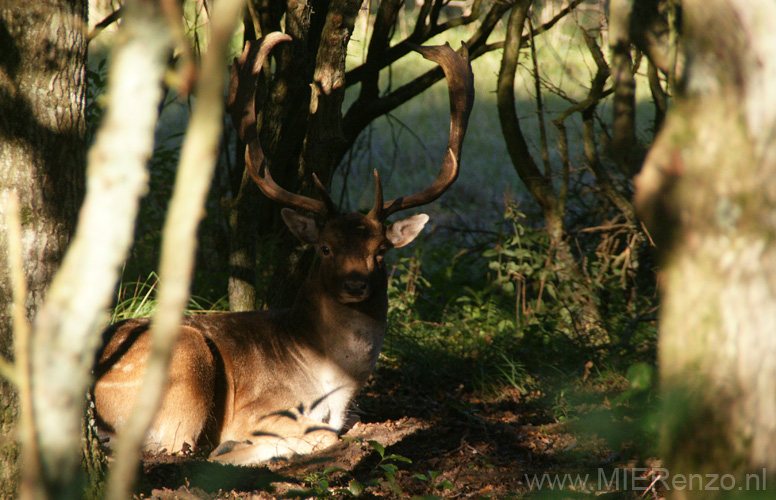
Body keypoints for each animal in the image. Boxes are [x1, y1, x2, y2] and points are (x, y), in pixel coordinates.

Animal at [94, 34, 476, 464]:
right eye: (325, 248)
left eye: (381, 250)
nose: (355, 284)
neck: (336, 385)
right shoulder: (262, 407)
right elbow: (325, 435)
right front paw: (252, 445)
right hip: (184, 374)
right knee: (180, 448)